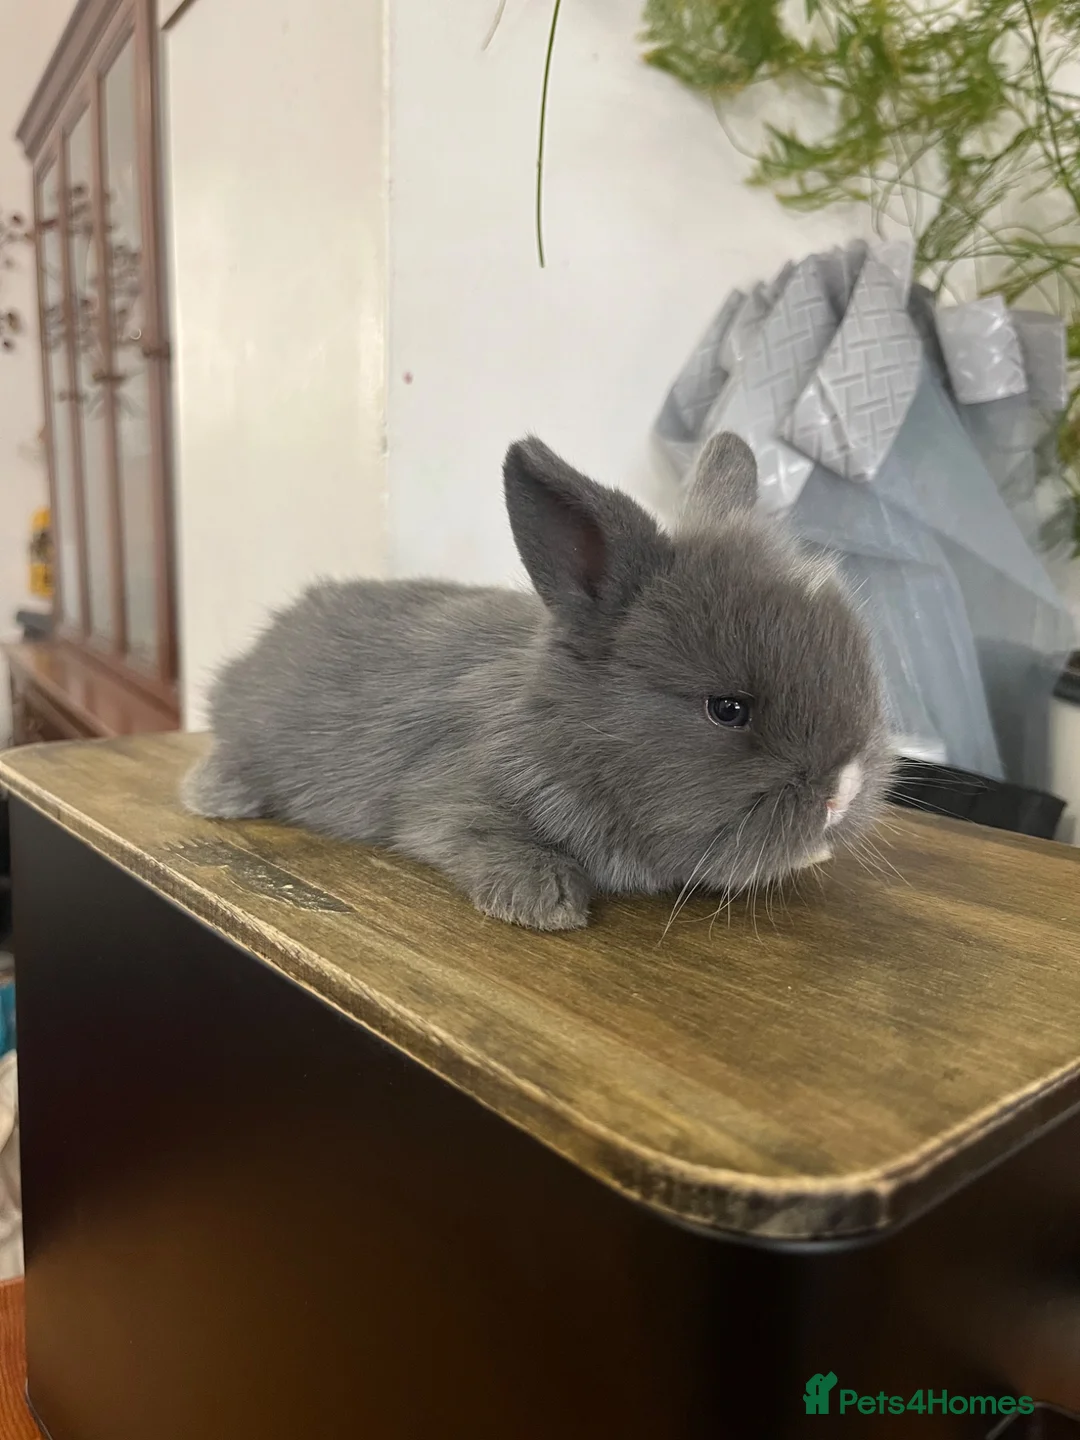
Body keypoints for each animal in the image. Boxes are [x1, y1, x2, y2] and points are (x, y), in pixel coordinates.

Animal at [182, 431, 894, 931]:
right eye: (727, 709)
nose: (843, 791)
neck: (566, 729)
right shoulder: (450, 800)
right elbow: (477, 834)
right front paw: (544, 903)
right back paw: (213, 795)